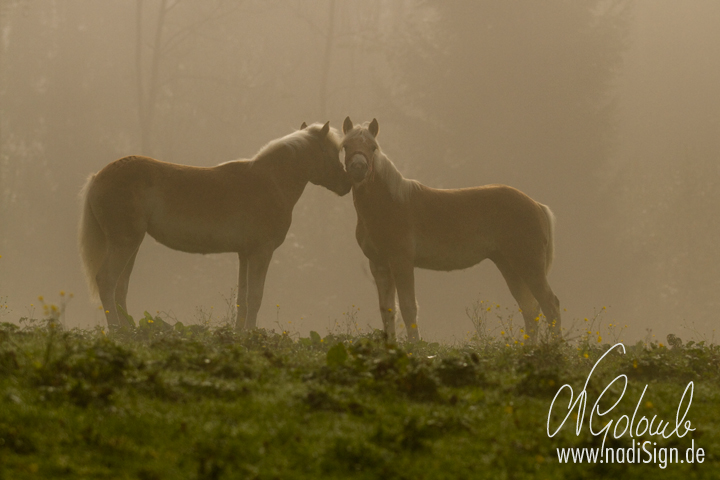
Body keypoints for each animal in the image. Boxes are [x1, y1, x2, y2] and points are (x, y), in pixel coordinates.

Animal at [79, 122, 352, 332]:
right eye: (333, 151)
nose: (346, 183)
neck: (270, 181)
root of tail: (98, 177)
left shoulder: (245, 254)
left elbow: (242, 298)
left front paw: (239, 335)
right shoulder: (261, 252)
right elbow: (255, 297)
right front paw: (250, 335)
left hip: (131, 245)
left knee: (120, 287)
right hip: (125, 243)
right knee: (107, 281)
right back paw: (118, 332)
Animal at [340, 116, 560, 344]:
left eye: (373, 147)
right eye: (345, 146)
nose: (358, 168)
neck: (390, 203)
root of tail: (536, 205)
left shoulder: (402, 261)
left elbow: (409, 308)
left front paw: (415, 345)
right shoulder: (380, 265)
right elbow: (388, 310)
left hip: (528, 264)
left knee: (550, 304)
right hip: (509, 265)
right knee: (531, 308)